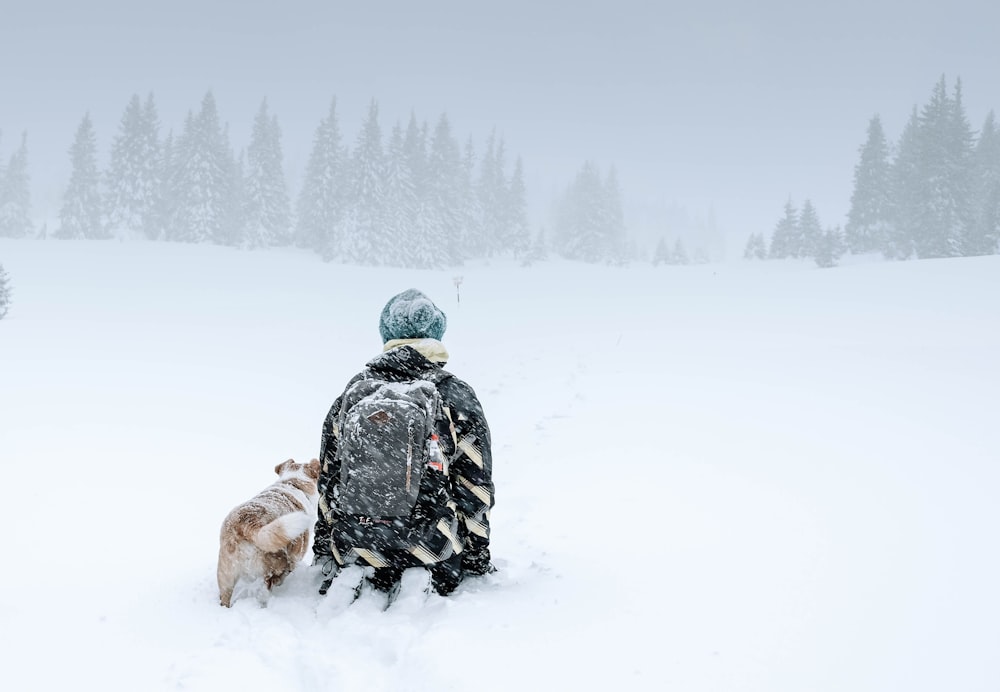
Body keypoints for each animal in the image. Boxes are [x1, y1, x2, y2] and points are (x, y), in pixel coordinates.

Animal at [218, 460, 320, 604]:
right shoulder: (296, 556)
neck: (293, 482)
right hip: (275, 565)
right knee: (267, 588)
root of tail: (247, 523)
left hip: (225, 576)